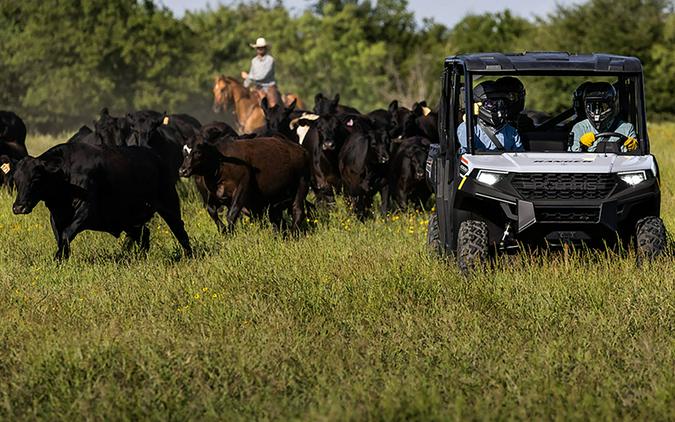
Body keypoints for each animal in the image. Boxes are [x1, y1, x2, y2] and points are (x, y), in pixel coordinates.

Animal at [13, 143, 193, 258]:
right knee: (144, 234)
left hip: (169, 205)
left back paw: (189, 255)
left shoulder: (85, 212)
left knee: (180, 230)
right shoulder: (56, 216)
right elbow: (61, 238)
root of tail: (156, 157)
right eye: (16, 180)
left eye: (36, 178)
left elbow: (66, 235)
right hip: (127, 218)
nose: (18, 207)